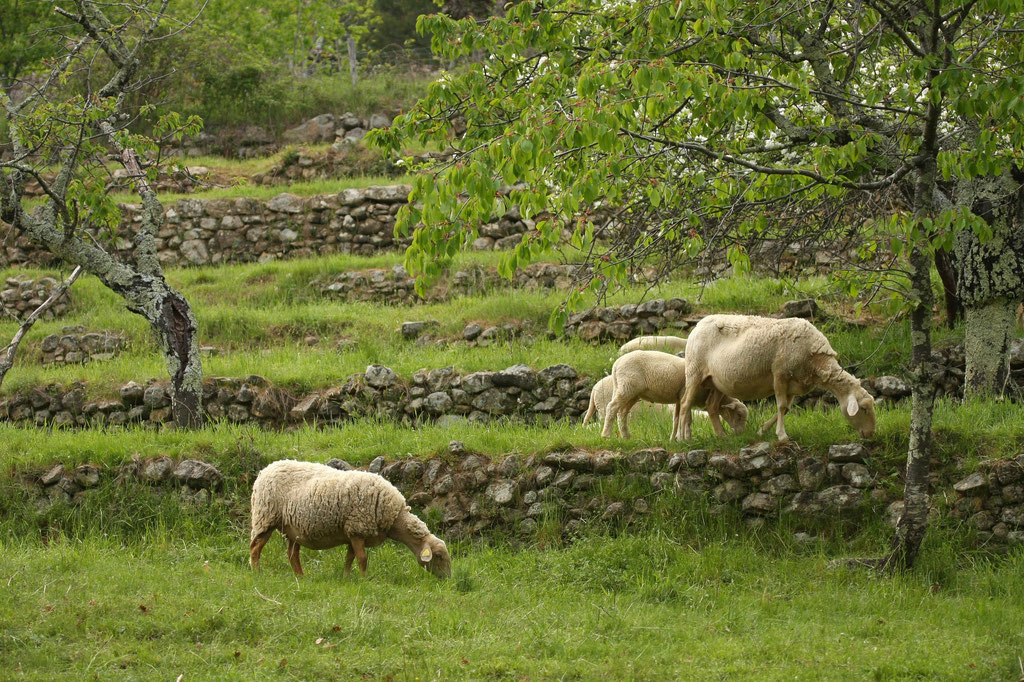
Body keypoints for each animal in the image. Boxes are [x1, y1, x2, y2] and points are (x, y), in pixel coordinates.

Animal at [247, 458, 448, 577]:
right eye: (438, 556)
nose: (447, 579)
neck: (394, 516)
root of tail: (266, 469)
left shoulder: (353, 533)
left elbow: (350, 558)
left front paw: (346, 577)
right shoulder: (358, 528)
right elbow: (362, 559)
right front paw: (364, 579)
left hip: (292, 528)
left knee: (292, 554)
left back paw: (301, 577)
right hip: (265, 517)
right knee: (256, 548)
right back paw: (256, 573)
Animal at [598, 348, 749, 438]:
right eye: (739, 415)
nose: (741, 434)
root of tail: (616, 364)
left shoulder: (679, 398)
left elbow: (676, 419)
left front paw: (673, 439)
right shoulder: (685, 395)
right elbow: (687, 420)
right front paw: (686, 438)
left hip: (632, 392)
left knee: (622, 412)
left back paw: (626, 436)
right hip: (627, 387)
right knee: (612, 408)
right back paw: (606, 435)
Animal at [675, 313, 876, 440]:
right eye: (864, 409)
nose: (871, 434)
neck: (816, 362)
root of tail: (699, 324)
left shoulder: (795, 383)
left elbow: (786, 408)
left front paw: (762, 430)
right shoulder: (780, 374)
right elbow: (780, 406)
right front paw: (782, 435)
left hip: (717, 381)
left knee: (711, 406)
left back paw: (721, 435)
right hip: (694, 372)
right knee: (685, 403)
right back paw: (682, 438)